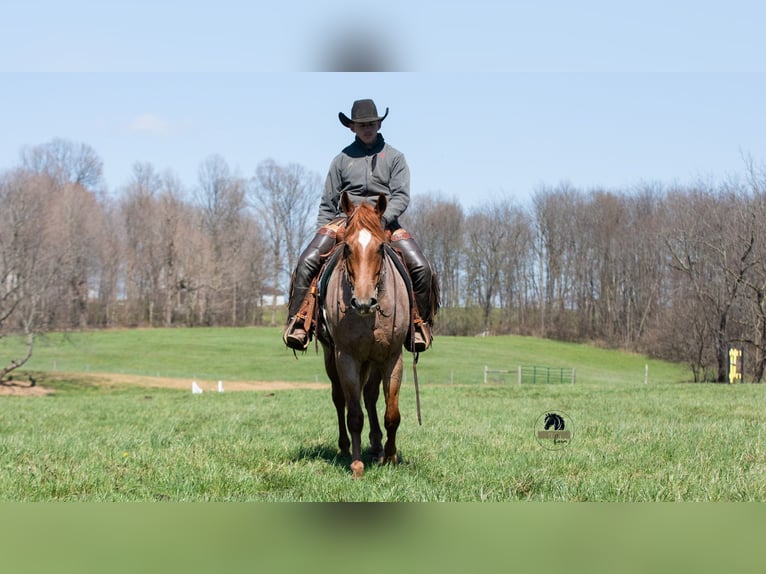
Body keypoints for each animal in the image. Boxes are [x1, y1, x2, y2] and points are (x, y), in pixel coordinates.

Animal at [317, 191, 411, 478]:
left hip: (373, 361)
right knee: (341, 399)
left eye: (380, 247)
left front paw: (390, 457)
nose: (363, 302)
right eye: (347, 247)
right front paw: (357, 464)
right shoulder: (346, 357)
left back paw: (377, 447)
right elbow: (354, 414)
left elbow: (392, 413)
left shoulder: (392, 357)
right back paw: (346, 447)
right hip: (332, 357)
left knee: (369, 396)